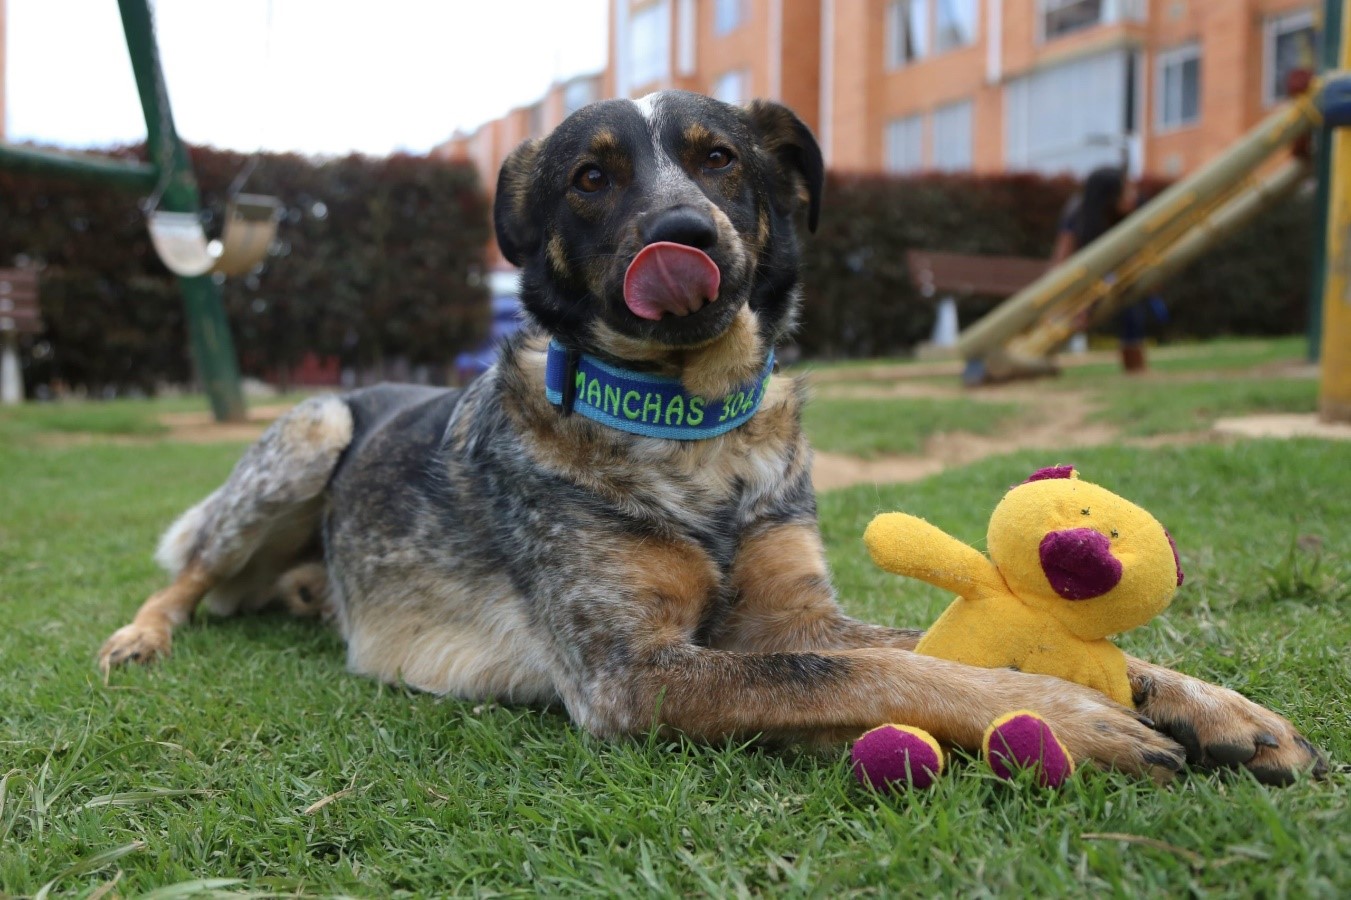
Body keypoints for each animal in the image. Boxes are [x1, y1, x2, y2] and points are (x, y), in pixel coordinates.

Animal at [99, 87, 1323, 783]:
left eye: (720, 157)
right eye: (591, 178)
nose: (682, 232)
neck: (690, 427)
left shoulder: (793, 607)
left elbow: (904, 649)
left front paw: (1217, 710)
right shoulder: (632, 674)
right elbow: (851, 674)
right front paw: (1067, 717)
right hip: (309, 429)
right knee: (188, 575)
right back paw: (142, 637)